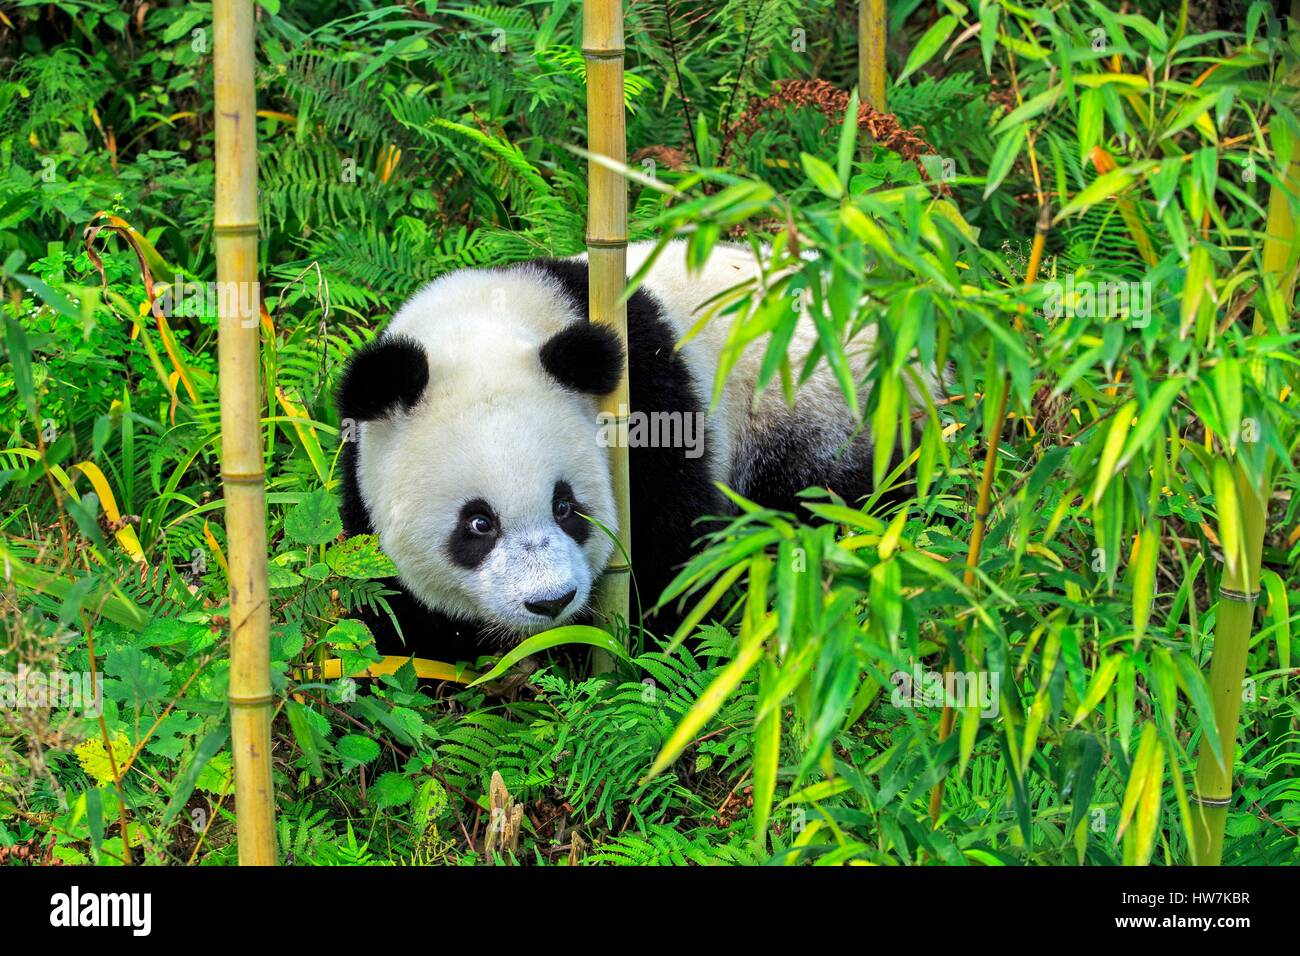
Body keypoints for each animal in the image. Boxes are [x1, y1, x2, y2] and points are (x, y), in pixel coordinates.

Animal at [340, 240, 899, 665]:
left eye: (565, 507)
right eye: (479, 523)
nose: (551, 602)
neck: (484, 319)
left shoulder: (651, 411)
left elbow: (674, 547)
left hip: (810, 417)